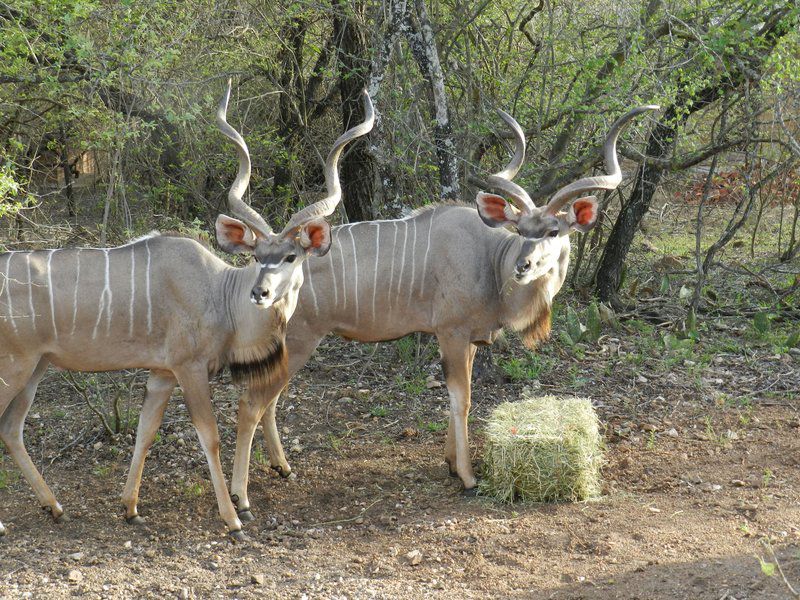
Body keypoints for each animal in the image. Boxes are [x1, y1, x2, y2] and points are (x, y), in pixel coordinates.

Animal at [0, 82, 376, 536]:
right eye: (256, 256)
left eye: (290, 256)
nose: (261, 293)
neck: (219, 293)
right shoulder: (190, 367)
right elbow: (209, 435)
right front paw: (233, 517)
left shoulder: (162, 374)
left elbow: (145, 432)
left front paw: (130, 507)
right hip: (14, 365)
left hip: (36, 366)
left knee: (11, 428)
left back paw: (55, 507)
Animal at [227, 104, 656, 506]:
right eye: (521, 229)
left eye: (553, 231)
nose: (524, 266)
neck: (490, 259)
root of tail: (252, 280)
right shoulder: (451, 333)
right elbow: (461, 399)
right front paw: (466, 476)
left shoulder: (468, 340)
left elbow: (460, 398)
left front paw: (451, 462)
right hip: (300, 340)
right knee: (251, 402)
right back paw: (239, 497)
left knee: (269, 401)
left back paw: (282, 467)